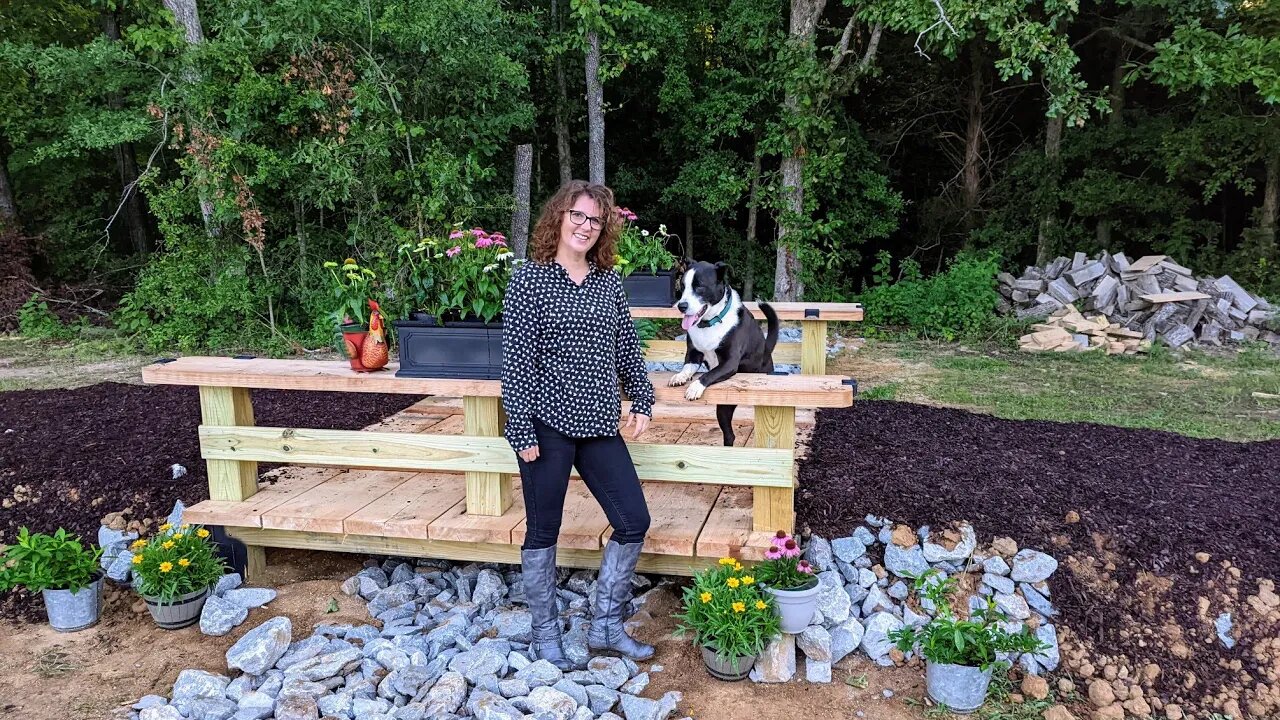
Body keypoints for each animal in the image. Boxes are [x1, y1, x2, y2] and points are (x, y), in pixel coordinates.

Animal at [670, 260, 778, 445]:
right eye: (682, 286)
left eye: (699, 287)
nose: (681, 306)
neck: (710, 323)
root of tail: (766, 350)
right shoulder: (693, 355)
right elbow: (687, 367)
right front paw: (679, 376)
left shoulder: (729, 363)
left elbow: (709, 374)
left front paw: (695, 387)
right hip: (723, 408)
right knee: (729, 435)